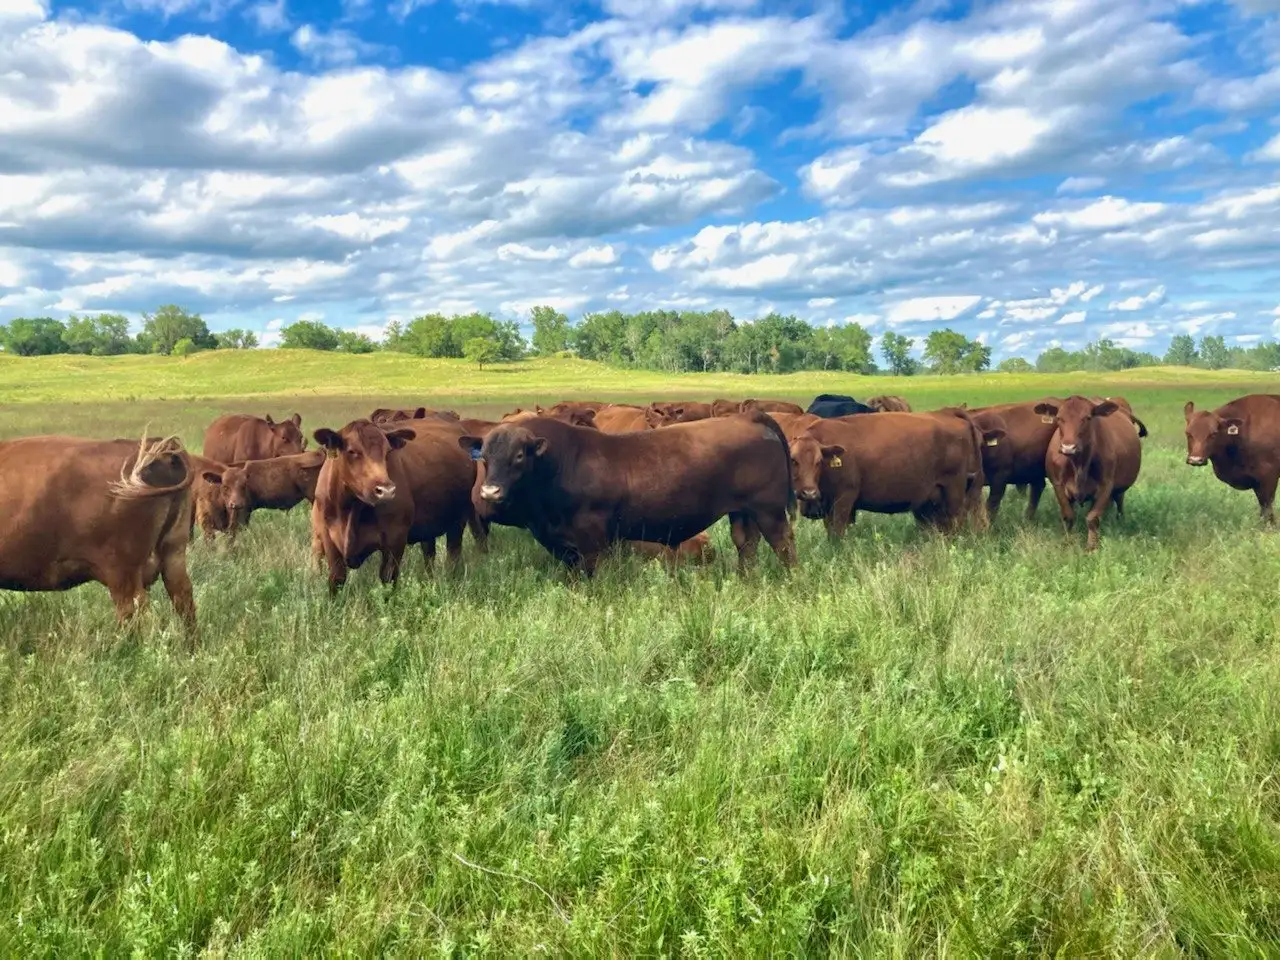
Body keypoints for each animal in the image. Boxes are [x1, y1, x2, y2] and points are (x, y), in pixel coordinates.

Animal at [311, 419, 479, 593]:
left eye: (387, 452)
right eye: (352, 451)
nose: (386, 491)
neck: (351, 508)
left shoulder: (395, 537)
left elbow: (388, 578)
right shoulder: (327, 536)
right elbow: (336, 579)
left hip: (458, 521)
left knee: (453, 553)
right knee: (429, 553)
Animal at [459, 413, 797, 575]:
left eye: (518, 456)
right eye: (484, 457)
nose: (489, 491)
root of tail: (747, 417)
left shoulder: (593, 538)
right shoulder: (562, 543)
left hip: (769, 510)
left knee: (783, 545)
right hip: (742, 511)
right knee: (746, 545)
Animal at [788, 413, 975, 538]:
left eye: (819, 461)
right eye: (793, 460)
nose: (809, 492)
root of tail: (954, 418)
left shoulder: (844, 500)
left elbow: (837, 532)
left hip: (954, 494)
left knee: (956, 521)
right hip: (929, 502)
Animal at [1036, 396, 1142, 551]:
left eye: (1087, 418)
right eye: (1059, 418)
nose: (1068, 447)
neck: (1079, 465)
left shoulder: (1106, 485)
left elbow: (1092, 518)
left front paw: (1092, 546)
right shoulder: (1058, 485)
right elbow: (1068, 515)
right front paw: (1067, 542)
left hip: (1118, 488)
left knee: (1119, 500)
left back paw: (1120, 520)